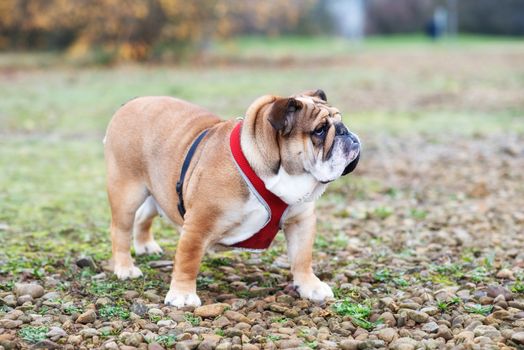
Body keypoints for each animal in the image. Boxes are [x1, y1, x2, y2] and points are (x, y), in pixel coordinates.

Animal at [104, 90, 358, 306]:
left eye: (340, 121)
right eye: (320, 130)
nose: (346, 132)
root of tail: (131, 103)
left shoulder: (301, 221)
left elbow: (302, 257)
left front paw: (310, 287)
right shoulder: (198, 224)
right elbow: (188, 260)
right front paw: (183, 295)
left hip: (157, 192)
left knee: (144, 217)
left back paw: (146, 246)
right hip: (127, 192)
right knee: (121, 230)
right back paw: (126, 268)